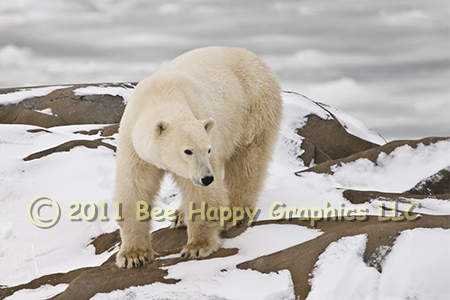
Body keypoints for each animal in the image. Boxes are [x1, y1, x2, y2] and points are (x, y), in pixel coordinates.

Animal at [115, 47, 282, 270]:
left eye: (208, 150)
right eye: (188, 151)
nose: (207, 178)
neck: (161, 95)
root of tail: (257, 59)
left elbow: (203, 195)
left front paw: (197, 246)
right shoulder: (133, 145)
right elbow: (134, 189)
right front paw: (133, 255)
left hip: (253, 109)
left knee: (247, 163)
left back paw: (232, 214)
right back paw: (179, 216)